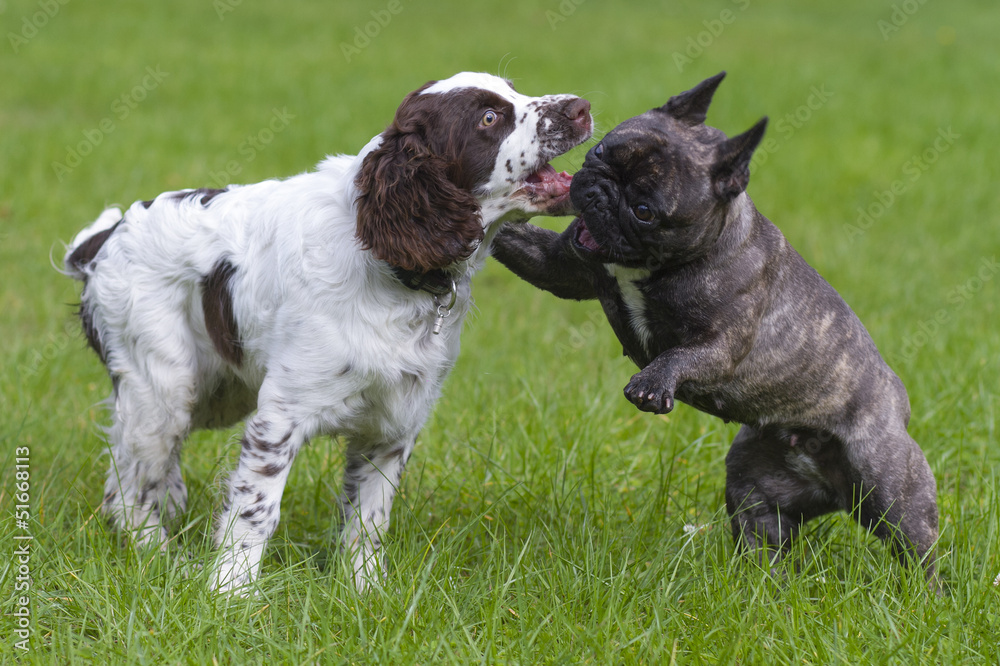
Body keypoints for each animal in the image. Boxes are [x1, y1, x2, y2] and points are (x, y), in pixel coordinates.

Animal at [62, 72, 588, 592]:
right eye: (489, 118)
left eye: (514, 89)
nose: (581, 107)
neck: (388, 268)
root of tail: (105, 238)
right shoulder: (279, 417)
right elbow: (256, 510)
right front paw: (231, 592)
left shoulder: (392, 424)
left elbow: (369, 518)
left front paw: (365, 591)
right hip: (165, 389)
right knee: (128, 488)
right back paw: (161, 557)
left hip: (216, 391)